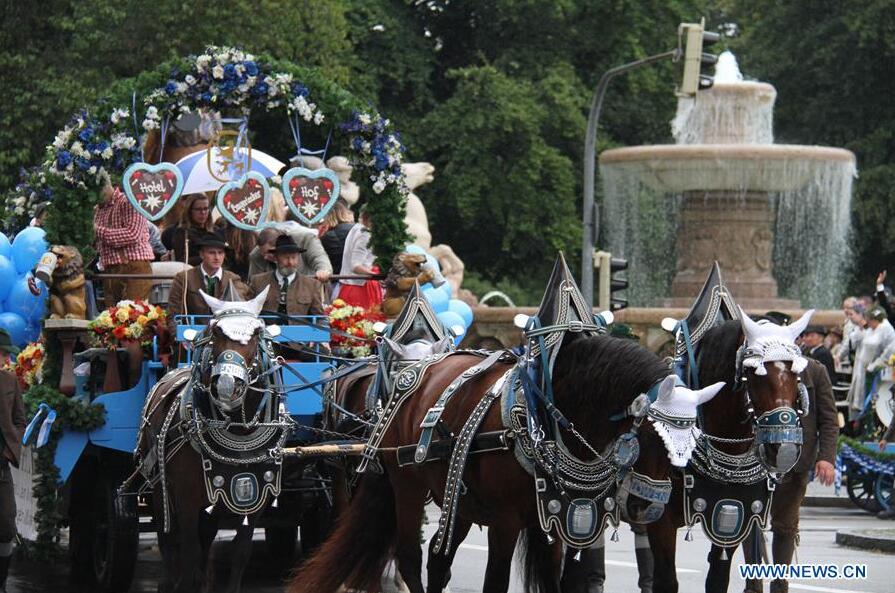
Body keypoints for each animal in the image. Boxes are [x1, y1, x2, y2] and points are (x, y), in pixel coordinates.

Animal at [288, 332, 700, 592]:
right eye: (647, 436)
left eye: (691, 442)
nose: (648, 507)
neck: (543, 416)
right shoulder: (506, 521)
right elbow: (495, 583)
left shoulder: (549, 519)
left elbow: (553, 580)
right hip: (407, 488)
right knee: (410, 557)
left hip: (457, 498)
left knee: (438, 560)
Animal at [648, 316, 816, 593]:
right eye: (754, 374)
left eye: (797, 375)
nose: (785, 450)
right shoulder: (659, 520)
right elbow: (666, 581)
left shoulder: (733, 516)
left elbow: (717, 579)